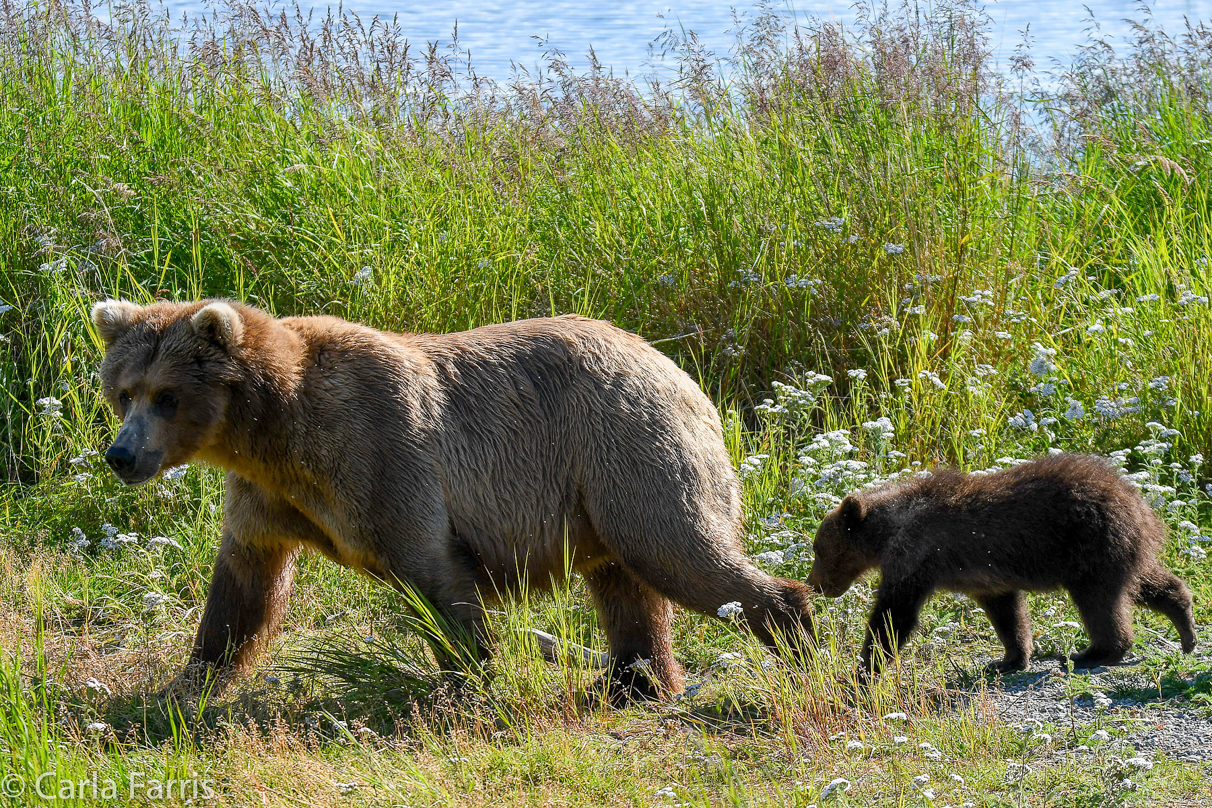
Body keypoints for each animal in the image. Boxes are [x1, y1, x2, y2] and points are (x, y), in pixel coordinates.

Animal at [94, 300, 814, 697]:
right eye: (124, 391)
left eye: (167, 395)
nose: (121, 455)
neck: (278, 429)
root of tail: (678, 370)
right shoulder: (268, 498)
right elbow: (242, 590)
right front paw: (181, 688)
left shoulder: (382, 452)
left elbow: (435, 577)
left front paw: (470, 683)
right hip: (597, 484)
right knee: (625, 583)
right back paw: (632, 681)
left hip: (627, 446)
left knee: (677, 548)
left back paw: (794, 632)